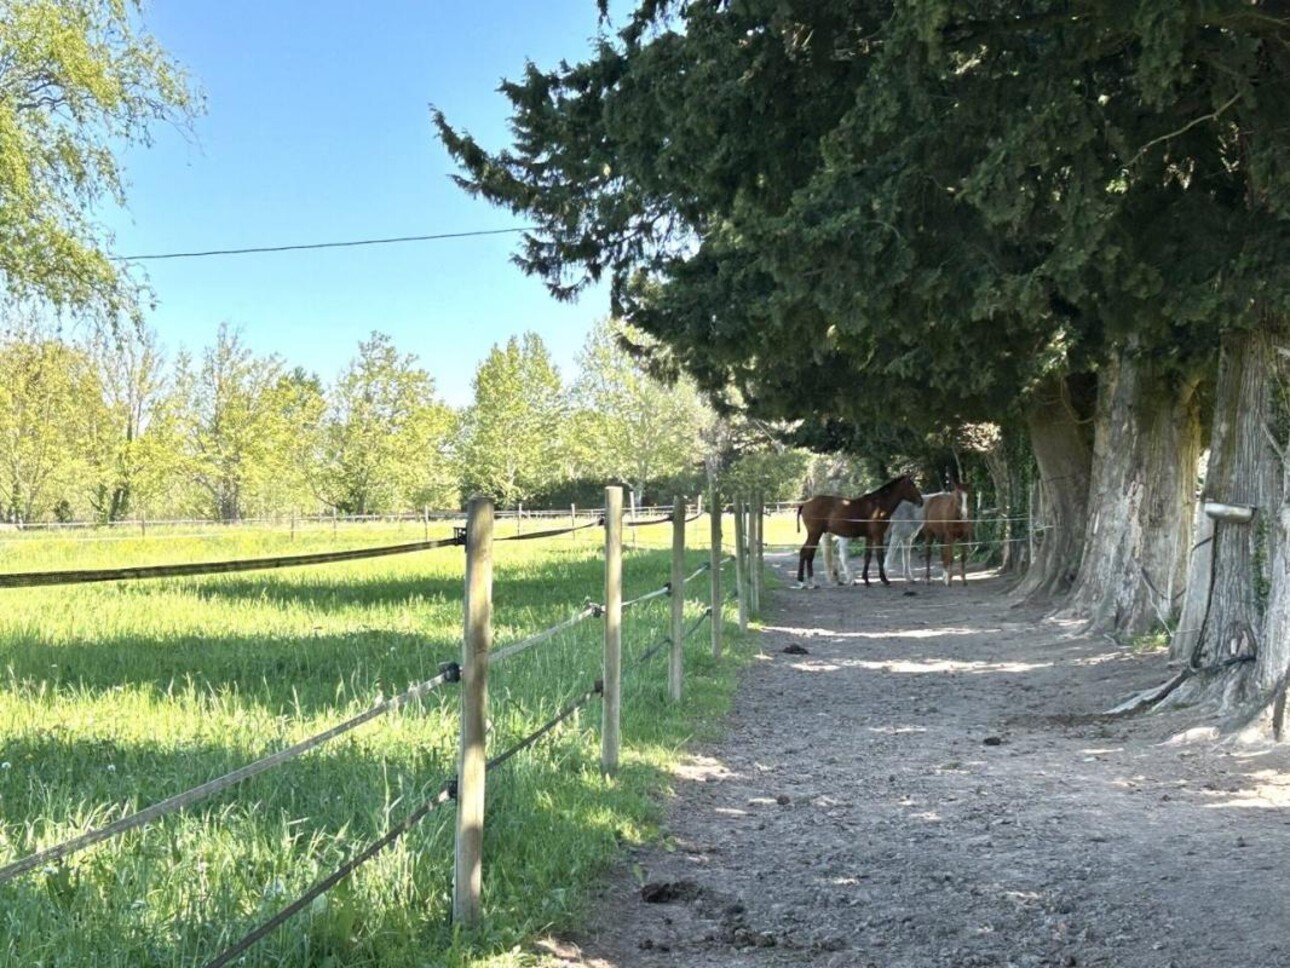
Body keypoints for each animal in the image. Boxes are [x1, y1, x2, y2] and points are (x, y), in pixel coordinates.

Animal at [789, 477, 923, 591]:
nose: (921, 501)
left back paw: (811, 583)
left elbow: (867, 556)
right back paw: (803, 582)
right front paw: (884, 580)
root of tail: (805, 504)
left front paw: (866, 580)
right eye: (912, 485)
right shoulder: (878, 535)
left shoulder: (870, 537)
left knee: (808, 554)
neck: (878, 506)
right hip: (815, 534)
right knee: (806, 553)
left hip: (816, 534)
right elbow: (880, 556)